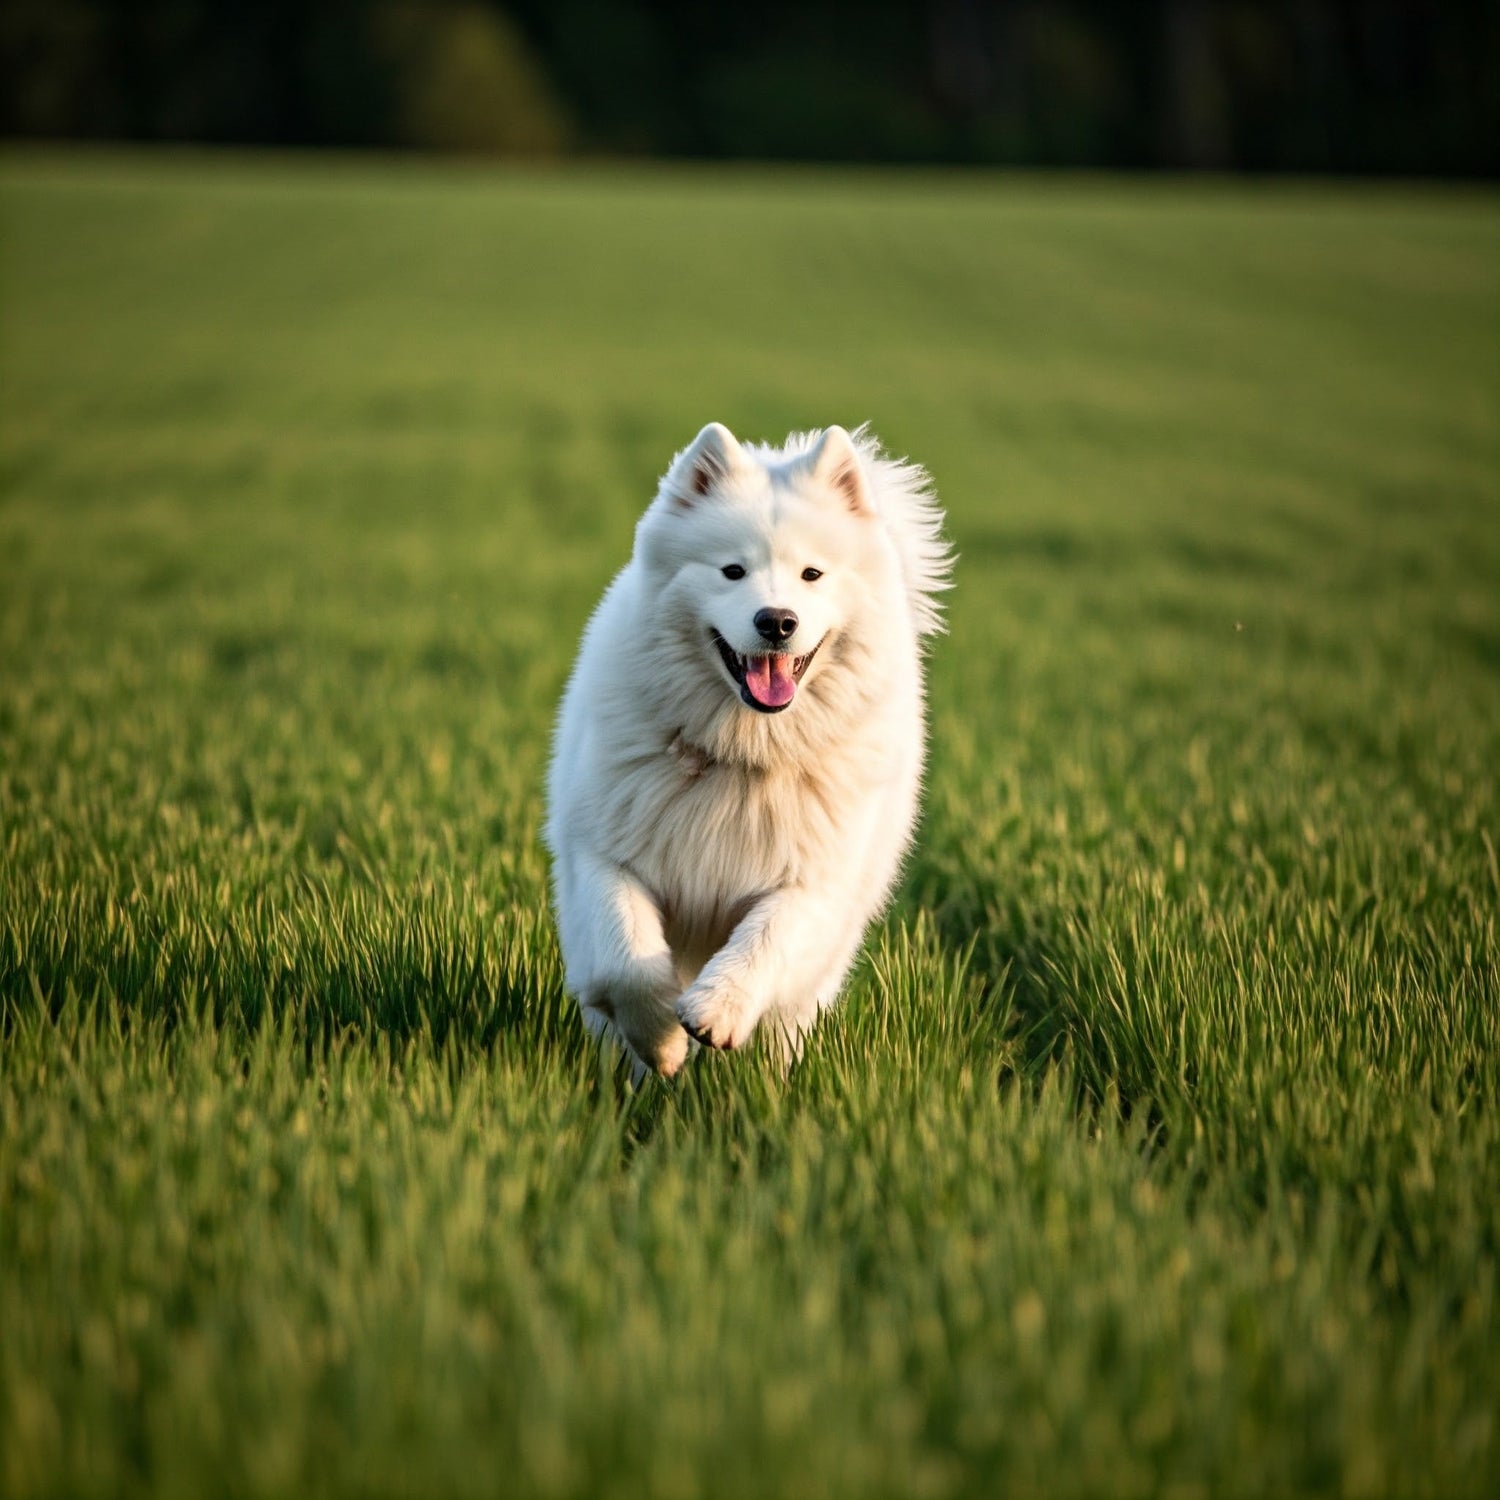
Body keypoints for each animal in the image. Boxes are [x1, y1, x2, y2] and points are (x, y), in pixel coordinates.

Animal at [549, 423, 948, 1080]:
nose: (777, 621)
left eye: (812, 574)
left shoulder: (813, 881)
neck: (744, 752)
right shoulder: (603, 855)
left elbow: (765, 941)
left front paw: (716, 1012)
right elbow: (626, 961)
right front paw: (662, 1042)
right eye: (732, 571)